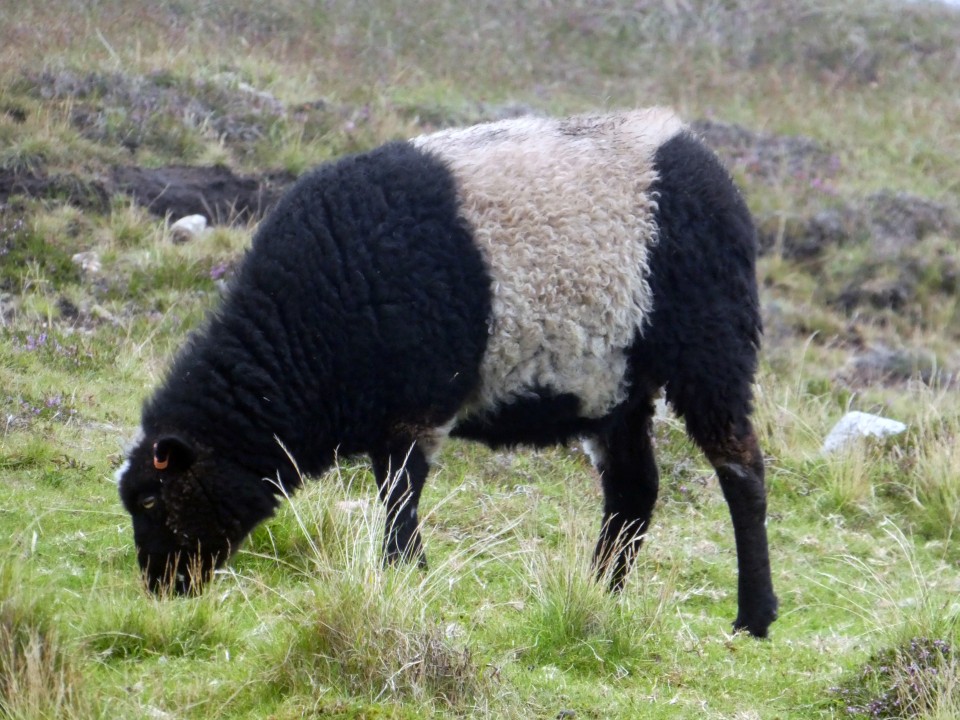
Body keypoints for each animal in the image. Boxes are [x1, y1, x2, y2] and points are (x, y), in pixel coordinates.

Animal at [116, 108, 777, 638]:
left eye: (150, 499)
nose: (160, 588)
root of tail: (705, 162)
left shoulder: (414, 408)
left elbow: (399, 500)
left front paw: (403, 580)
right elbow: (397, 497)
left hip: (711, 347)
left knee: (740, 468)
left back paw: (754, 616)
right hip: (614, 383)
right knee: (634, 490)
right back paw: (601, 595)